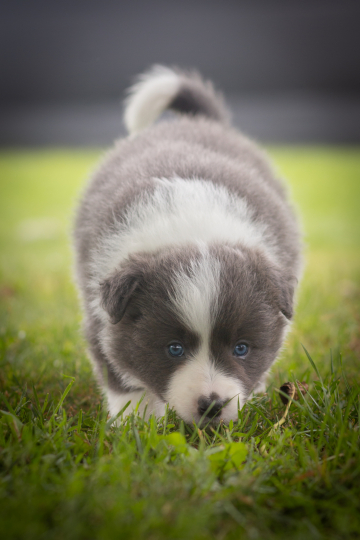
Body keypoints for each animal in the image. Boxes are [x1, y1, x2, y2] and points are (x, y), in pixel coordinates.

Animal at [72, 64, 300, 426]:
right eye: (174, 348)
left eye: (242, 348)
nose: (212, 405)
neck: (194, 228)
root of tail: (198, 122)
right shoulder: (102, 319)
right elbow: (123, 381)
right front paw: (134, 426)